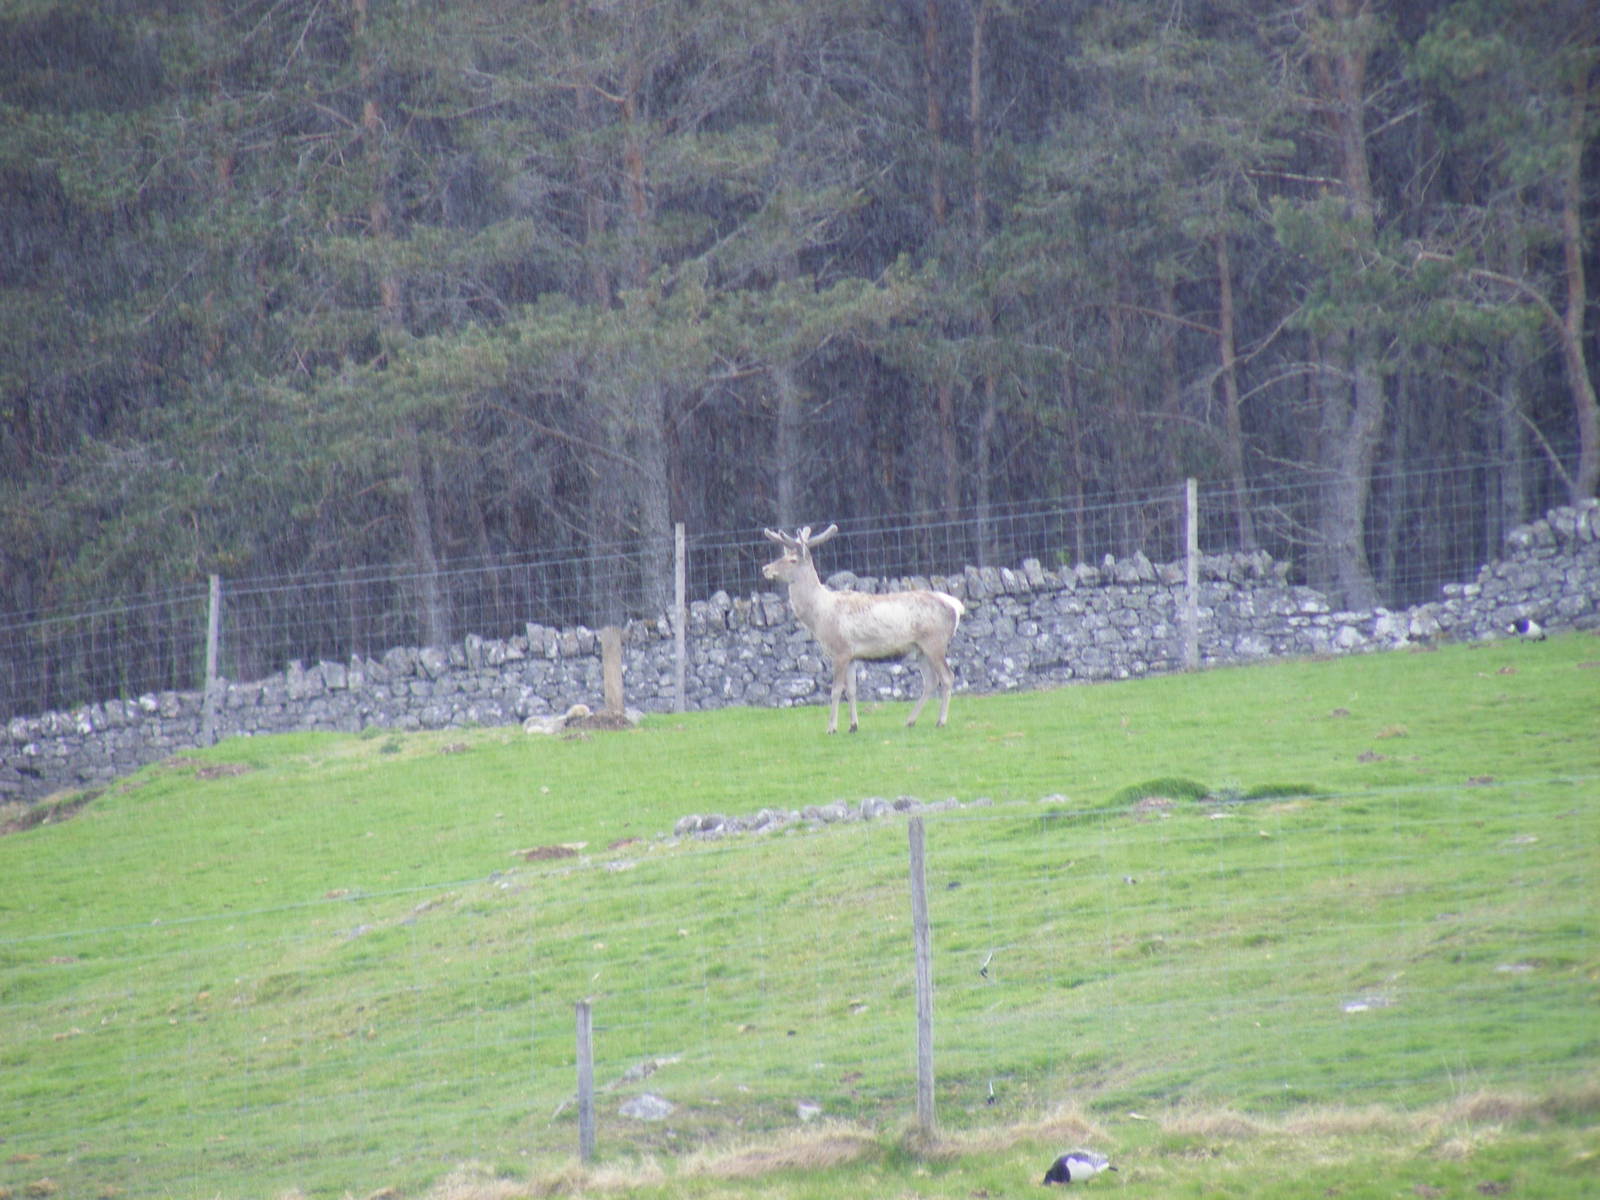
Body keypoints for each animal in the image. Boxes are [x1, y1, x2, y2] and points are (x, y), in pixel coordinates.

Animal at [762, 524, 965, 733]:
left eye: (792, 560)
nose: (765, 568)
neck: (820, 616)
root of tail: (956, 606)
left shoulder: (840, 650)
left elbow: (836, 690)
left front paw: (831, 728)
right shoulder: (851, 655)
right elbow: (851, 690)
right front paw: (853, 726)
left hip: (935, 642)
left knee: (947, 677)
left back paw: (941, 721)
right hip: (919, 649)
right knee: (931, 681)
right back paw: (910, 721)